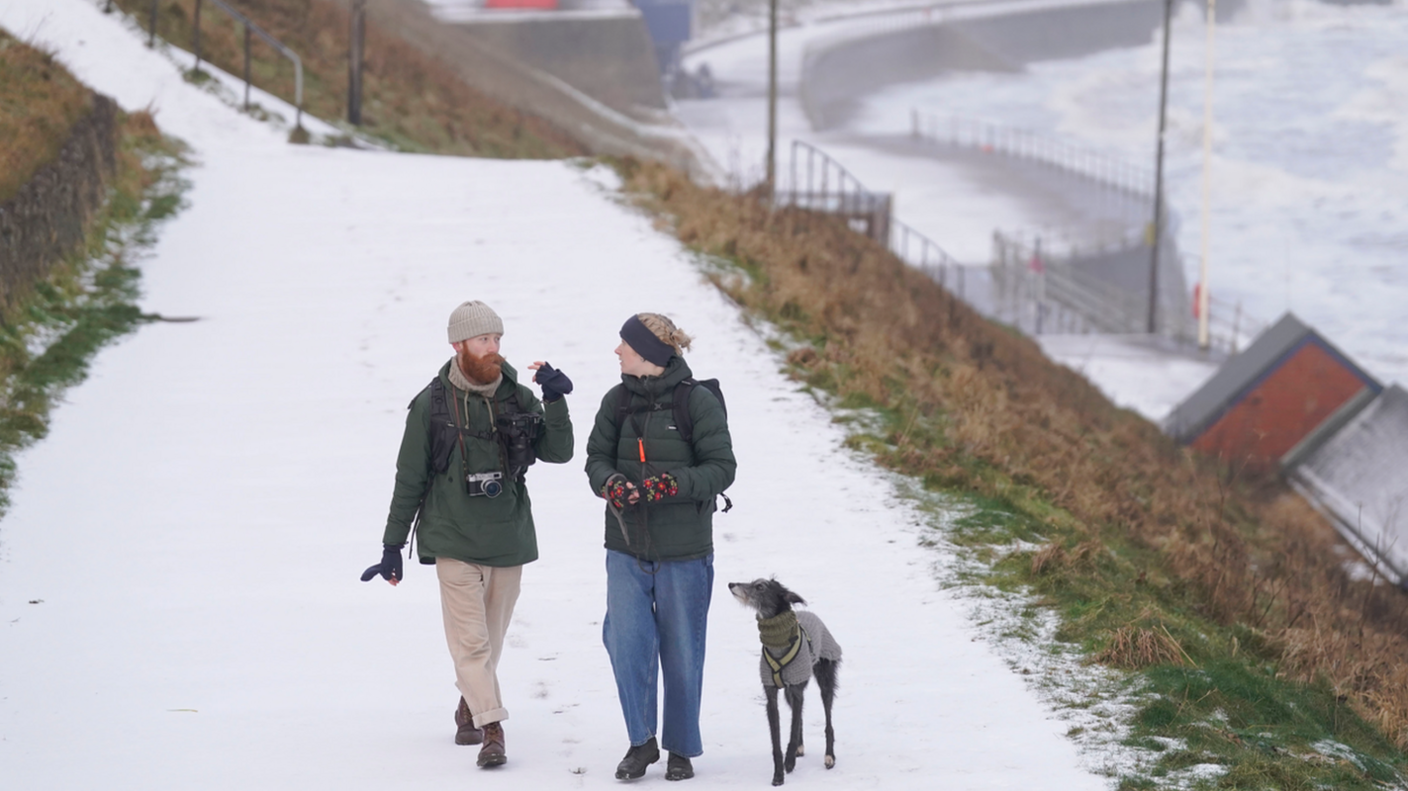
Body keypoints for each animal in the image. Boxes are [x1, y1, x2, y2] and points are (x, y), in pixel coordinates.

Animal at [732, 577, 839, 782]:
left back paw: (829, 756)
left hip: (825, 680)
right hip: (790, 691)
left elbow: (793, 728)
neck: (778, 643)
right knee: (800, 718)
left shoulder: (797, 690)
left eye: (760, 586)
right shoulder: (772, 695)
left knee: (828, 719)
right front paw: (778, 775)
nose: (731, 585)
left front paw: (788, 762)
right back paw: (800, 746)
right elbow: (778, 738)